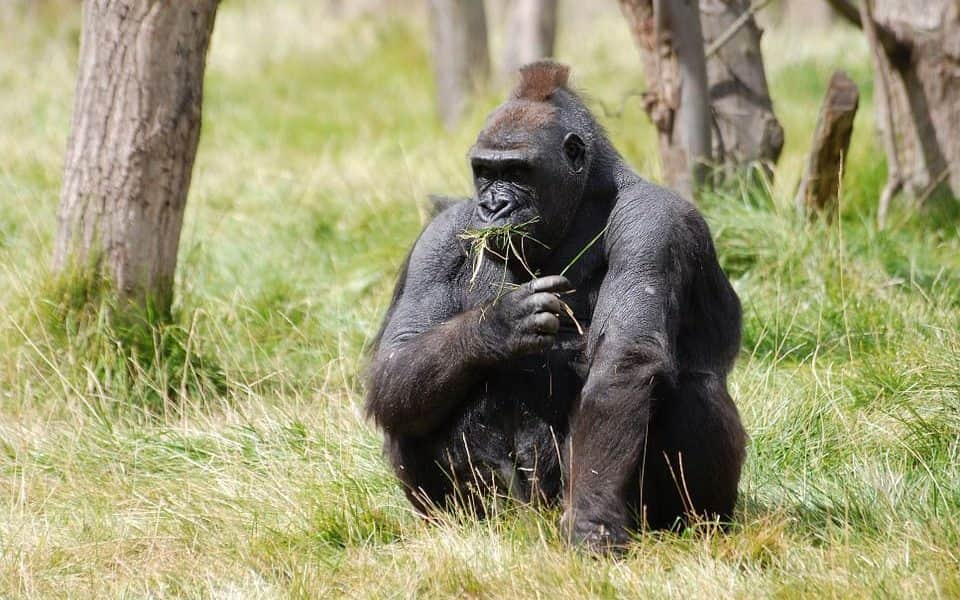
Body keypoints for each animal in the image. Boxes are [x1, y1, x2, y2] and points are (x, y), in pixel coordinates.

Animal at [364, 62, 748, 552]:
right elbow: (396, 360)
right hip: (507, 509)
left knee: (693, 389)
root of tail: (533, 517)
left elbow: (624, 364)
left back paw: (695, 525)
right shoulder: (439, 236)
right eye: (484, 171)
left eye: (518, 172)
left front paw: (591, 524)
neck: (586, 197)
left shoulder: (654, 222)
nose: (493, 206)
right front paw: (497, 326)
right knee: (408, 406)